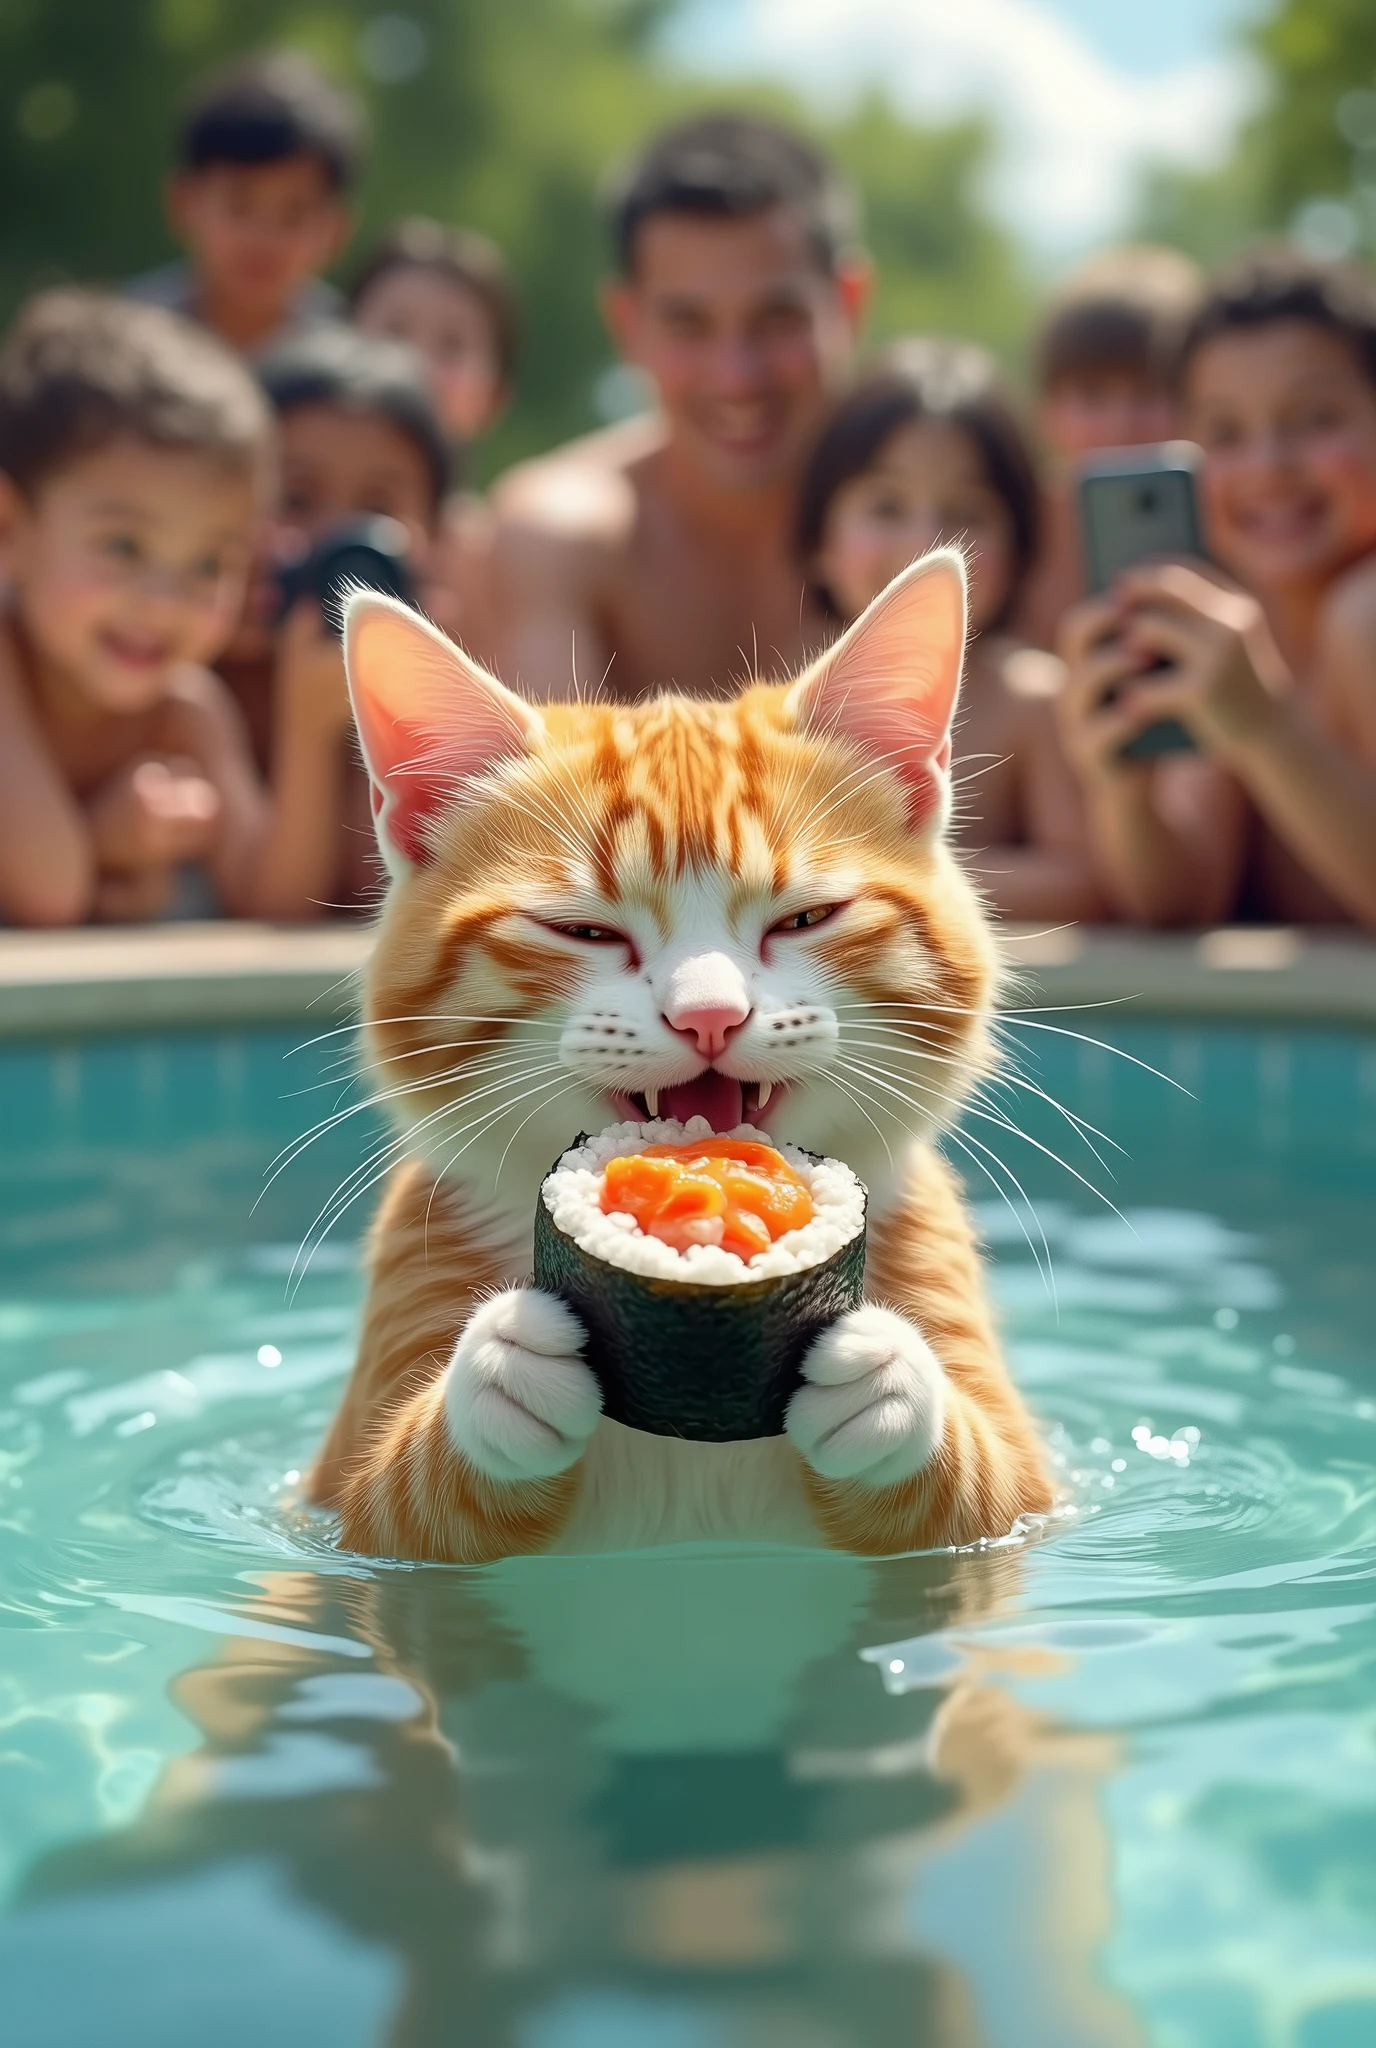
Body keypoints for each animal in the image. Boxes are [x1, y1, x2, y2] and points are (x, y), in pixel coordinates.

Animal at [309, 552, 1056, 1556]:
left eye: (806, 918)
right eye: (582, 930)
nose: (710, 1016)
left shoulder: (1023, 1506)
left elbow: (988, 1489)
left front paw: (888, 1376)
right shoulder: (344, 1519)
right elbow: (400, 1502)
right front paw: (501, 1366)